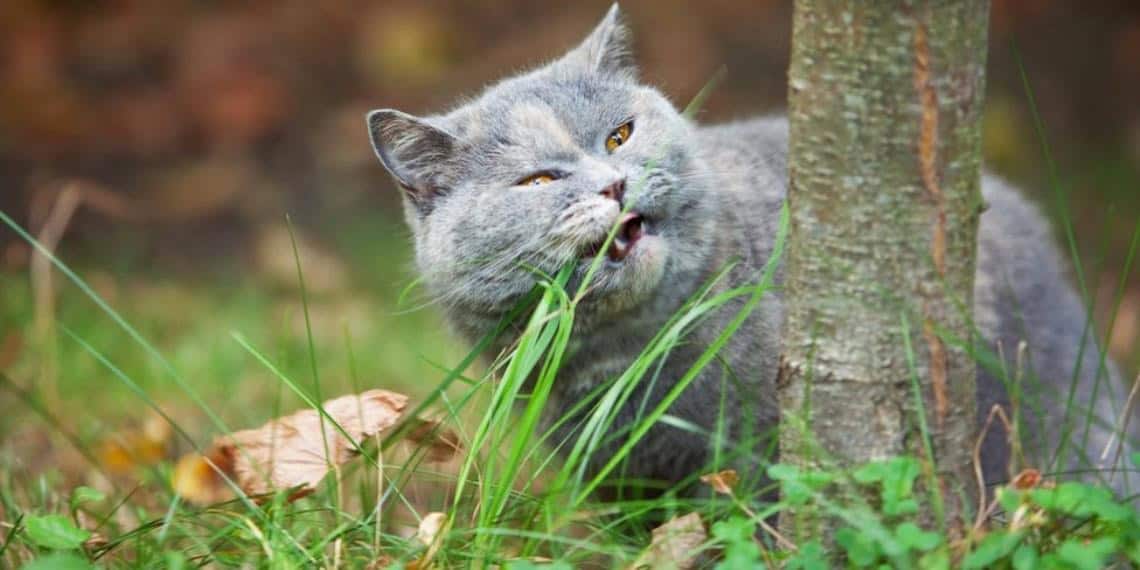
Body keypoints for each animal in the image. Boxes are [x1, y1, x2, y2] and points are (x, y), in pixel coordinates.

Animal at [369, 6, 1135, 501]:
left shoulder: (762, 455)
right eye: (539, 181)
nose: (613, 183)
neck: (632, 356)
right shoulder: (618, 480)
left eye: (619, 135)